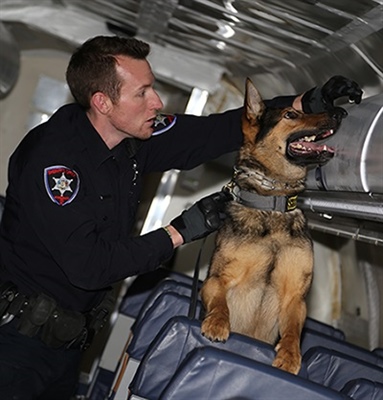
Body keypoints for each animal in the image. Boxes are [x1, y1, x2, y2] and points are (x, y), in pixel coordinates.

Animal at [200, 79, 344, 376]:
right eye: (290, 115)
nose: (340, 113)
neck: (273, 205)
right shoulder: (216, 279)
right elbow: (219, 302)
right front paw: (217, 323)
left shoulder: (295, 298)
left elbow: (293, 332)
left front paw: (289, 355)